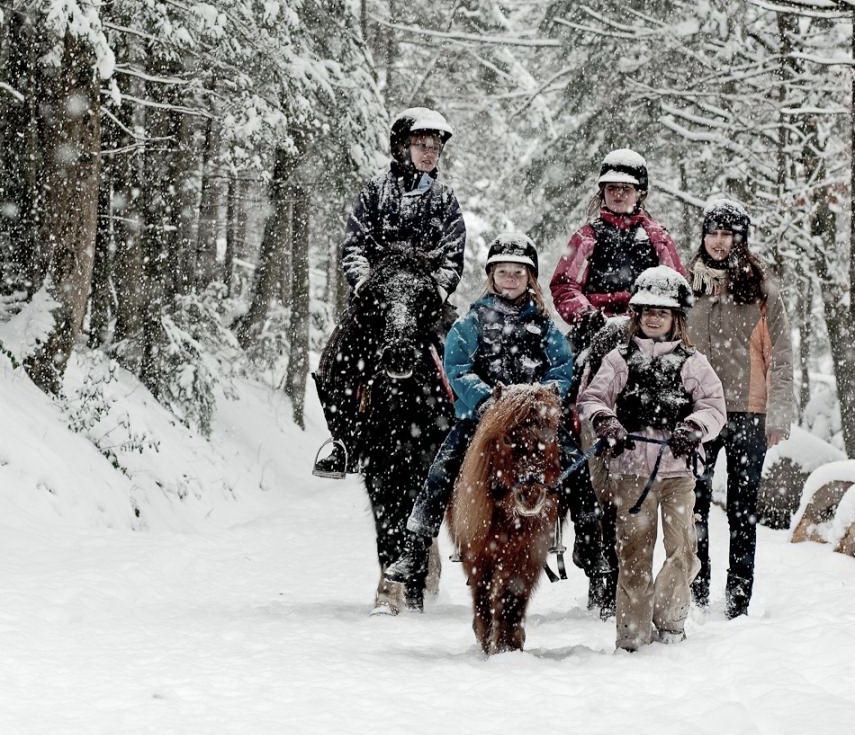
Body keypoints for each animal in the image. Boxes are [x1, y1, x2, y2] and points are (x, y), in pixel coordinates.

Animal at [342, 247, 454, 616]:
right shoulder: (378, 470)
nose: (399, 354)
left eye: (423, 297)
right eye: (377, 296)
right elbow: (389, 530)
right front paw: (387, 598)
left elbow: (413, 529)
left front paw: (414, 592)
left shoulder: (424, 464)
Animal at [448, 386, 560, 656]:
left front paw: (508, 646)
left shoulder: (528, 555)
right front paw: (488, 645)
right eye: (507, 438)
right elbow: (484, 599)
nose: (530, 494)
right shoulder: (477, 557)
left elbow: (512, 598)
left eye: (550, 435)